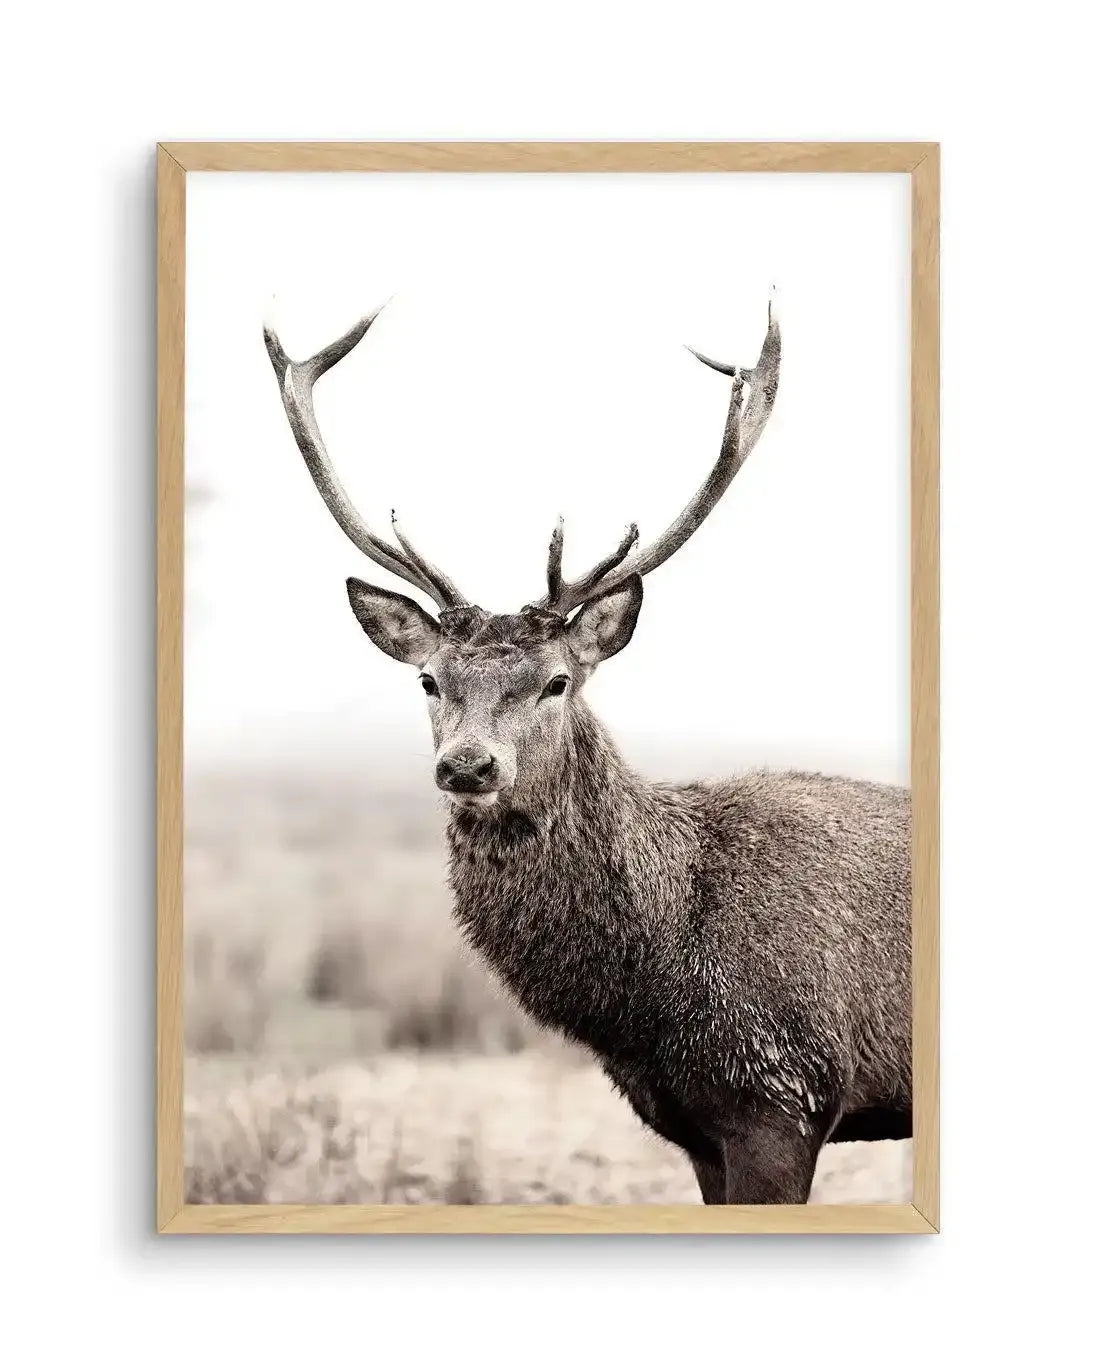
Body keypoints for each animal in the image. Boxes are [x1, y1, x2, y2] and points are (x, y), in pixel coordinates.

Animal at [263, 302, 911, 1205]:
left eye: (557, 680)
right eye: (429, 679)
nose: (469, 765)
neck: (653, 998)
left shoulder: (785, 1095)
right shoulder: (694, 1129)